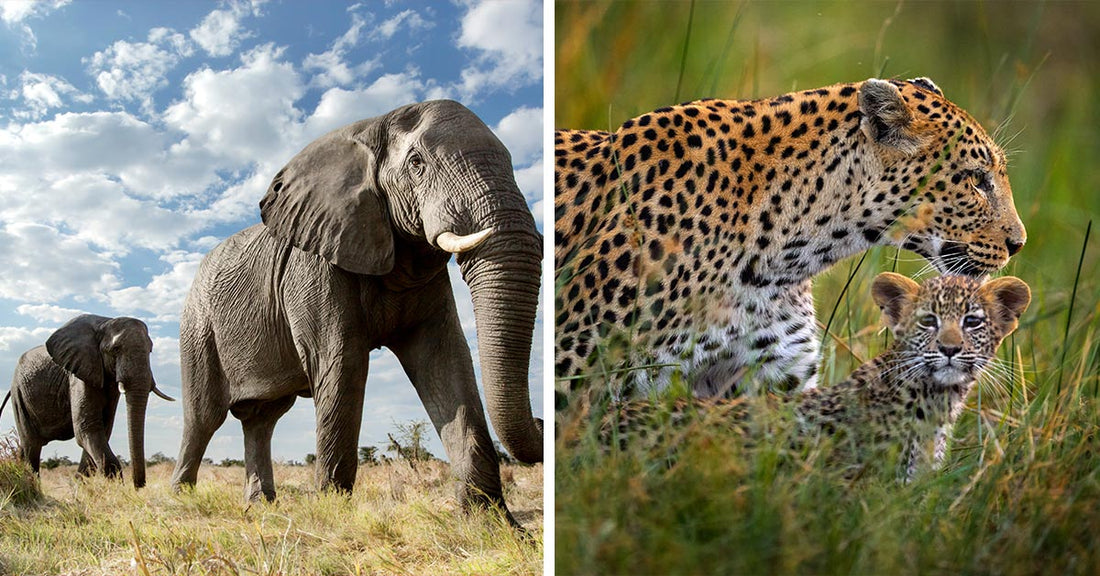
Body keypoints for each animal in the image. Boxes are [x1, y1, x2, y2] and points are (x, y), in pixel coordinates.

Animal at [0, 315, 174, 488]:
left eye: (150, 350)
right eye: (115, 349)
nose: (138, 487)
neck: (105, 322)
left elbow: (103, 429)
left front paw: (80, 486)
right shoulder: (79, 374)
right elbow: (88, 428)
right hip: (19, 393)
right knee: (32, 445)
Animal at [169, 100, 543, 523]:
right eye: (417, 163)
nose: (542, 422)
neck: (370, 130)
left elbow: (443, 359)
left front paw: (491, 522)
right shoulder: (316, 264)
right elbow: (342, 362)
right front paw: (333, 514)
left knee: (262, 419)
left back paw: (260, 504)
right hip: (197, 327)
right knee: (203, 417)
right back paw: (179, 499)